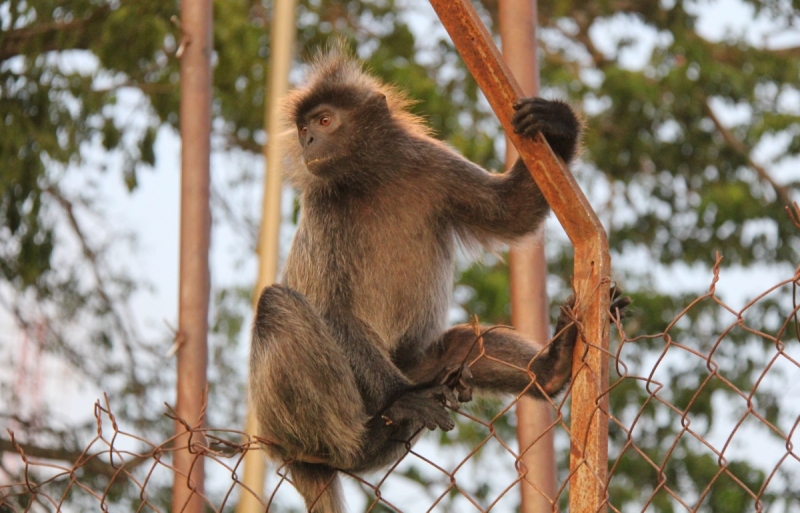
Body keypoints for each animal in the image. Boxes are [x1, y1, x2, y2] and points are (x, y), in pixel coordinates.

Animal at [252, 44, 632, 512]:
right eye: (304, 127)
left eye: (324, 121)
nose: (308, 141)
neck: (372, 176)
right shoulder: (325, 204)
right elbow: (334, 313)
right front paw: (405, 400)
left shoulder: (432, 165)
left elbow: (509, 212)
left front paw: (557, 125)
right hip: (308, 419)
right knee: (277, 305)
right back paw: (370, 435)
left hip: (415, 364)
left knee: (459, 345)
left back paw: (553, 368)